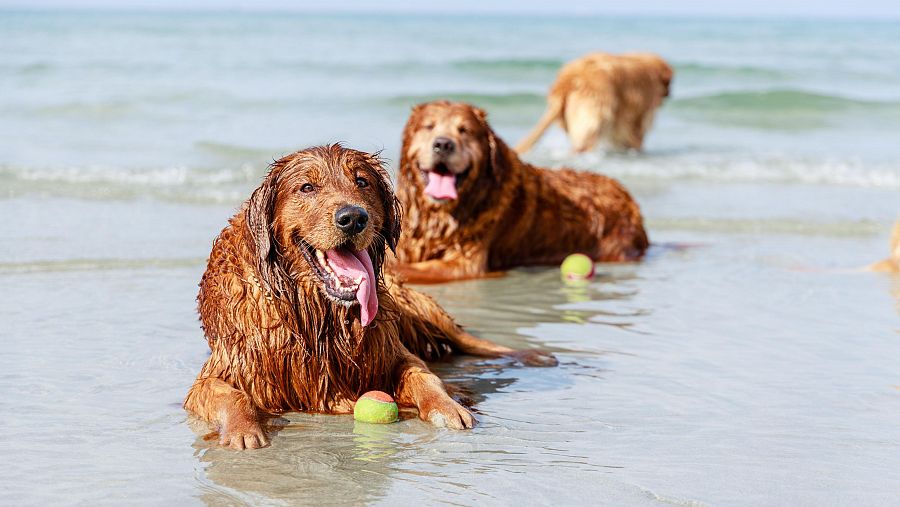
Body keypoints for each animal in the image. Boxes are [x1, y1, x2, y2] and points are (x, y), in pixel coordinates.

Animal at [183, 145, 556, 450]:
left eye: (361, 182)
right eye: (307, 187)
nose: (353, 218)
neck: (319, 312)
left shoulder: (391, 350)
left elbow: (426, 377)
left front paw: (450, 407)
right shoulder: (224, 370)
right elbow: (232, 396)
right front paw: (243, 431)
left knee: (467, 338)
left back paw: (532, 355)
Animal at [516, 52, 672, 155]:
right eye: (668, 84)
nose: (669, 93)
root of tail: (567, 80)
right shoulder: (639, 113)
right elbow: (634, 132)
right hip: (594, 113)